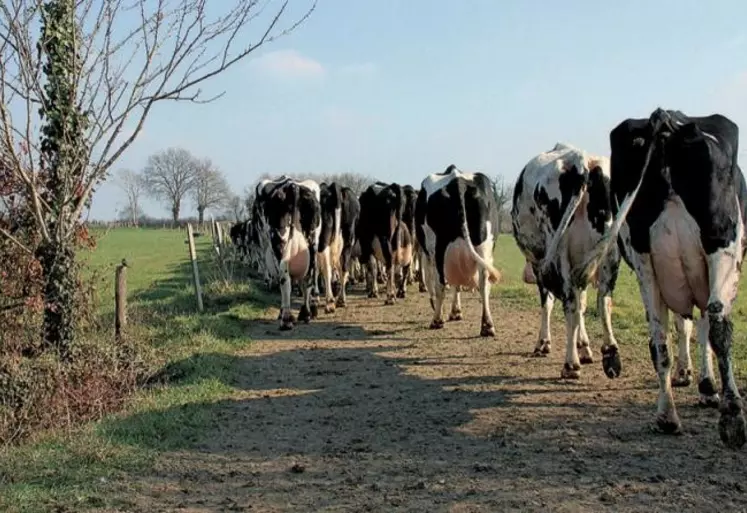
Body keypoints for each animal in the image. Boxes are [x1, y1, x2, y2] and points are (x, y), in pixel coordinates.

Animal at [256, 174, 322, 330]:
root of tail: (293, 186)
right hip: (312, 241)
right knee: (309, 276)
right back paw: (306, 313)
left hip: (278, 241)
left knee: (284, 276)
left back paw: (286, 318)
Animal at [414, 162, 502, 334]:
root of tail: (458, 182)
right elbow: (457, 283)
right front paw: (456, 312)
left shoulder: (430, 254)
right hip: (485, 246)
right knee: (484, 282)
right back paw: (487, 326)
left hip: (439, 249)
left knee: (440, 283)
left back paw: (437, 320)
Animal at [512, 142, 624, 378]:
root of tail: (581, 161)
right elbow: (583, 303)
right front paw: (584, 348)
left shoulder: (540, 264)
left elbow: (548, 303)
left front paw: (543, 343)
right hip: (610, 250)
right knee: (603, 300)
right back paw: (610, 355)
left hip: (559, 252)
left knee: (570, 303)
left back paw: (570, 364)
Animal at [580, 108, 747, 448]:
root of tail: (666, 118)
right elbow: (704, 329)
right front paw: (706, 387)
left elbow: (684, 326)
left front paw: (689, 376)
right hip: (722, 244)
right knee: (718, 326)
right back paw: (732, 416)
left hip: (644, 262)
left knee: (658, 339)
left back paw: (666, 416)